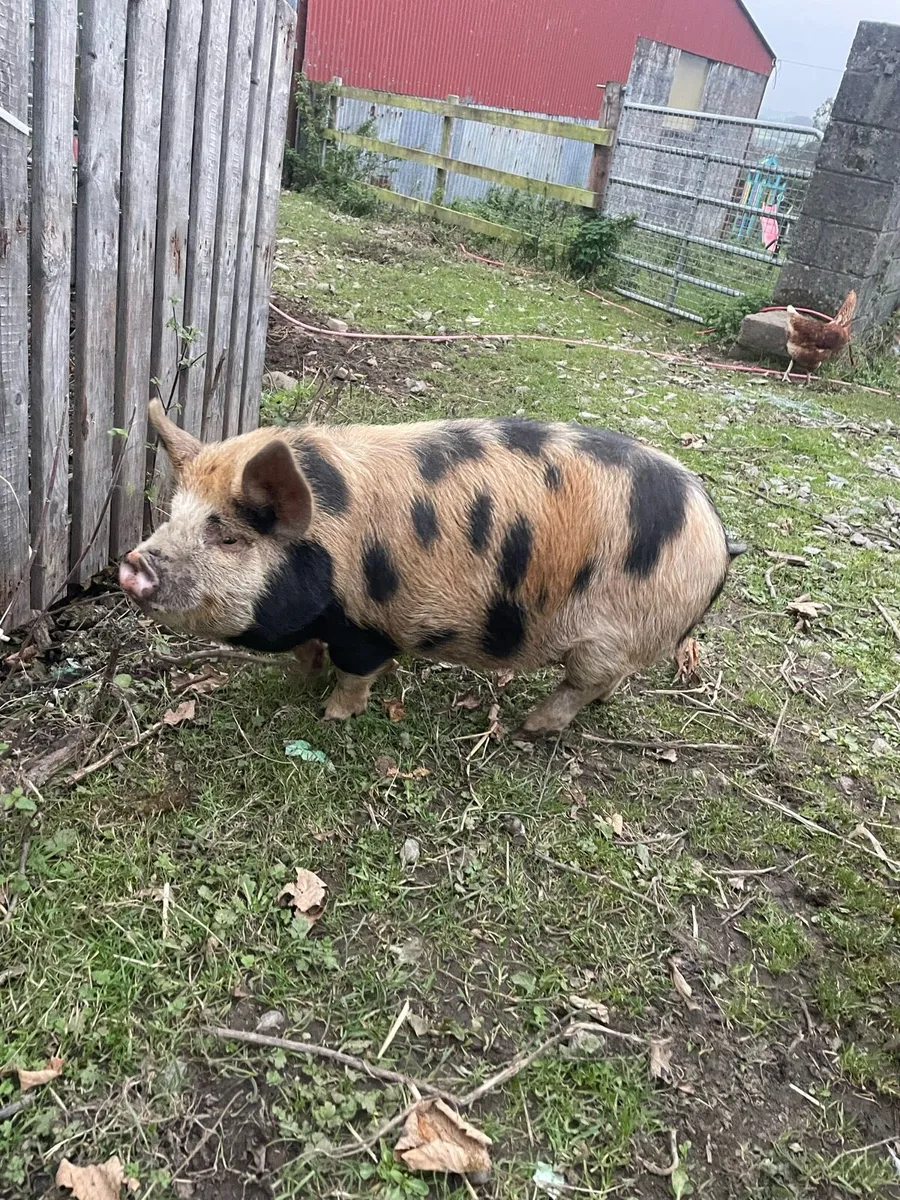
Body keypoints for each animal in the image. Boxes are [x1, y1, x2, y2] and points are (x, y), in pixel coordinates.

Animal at [119, 400, 745, 734]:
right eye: (172, 515)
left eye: (226, 535)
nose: (131, 564)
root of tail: (717, 539)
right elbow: (308, 655)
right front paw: (297, 681)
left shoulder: (364, 626)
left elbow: (355, 673)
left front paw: (331, 715)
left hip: (613, 633)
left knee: (585, 681)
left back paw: (531, 727)